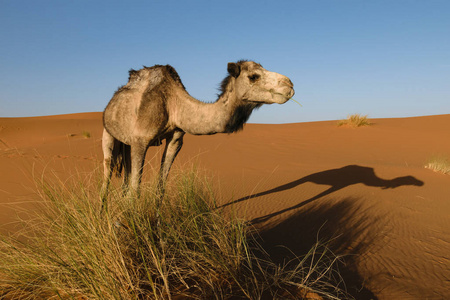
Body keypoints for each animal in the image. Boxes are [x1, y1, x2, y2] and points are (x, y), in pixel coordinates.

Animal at [100, 60, 294, 202]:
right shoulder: (141, 140)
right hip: (108, 134)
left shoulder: (175, 139)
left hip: (126, 143)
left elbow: (160, 189)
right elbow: (135, 193)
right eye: (253, 76)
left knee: (124, 183)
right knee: (107, 178)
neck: (173, 103)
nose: (289, 84)